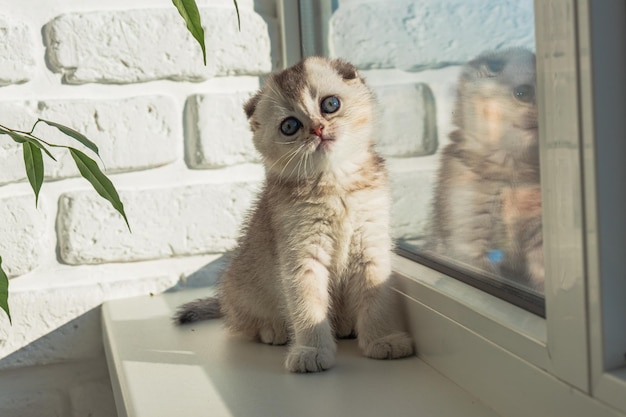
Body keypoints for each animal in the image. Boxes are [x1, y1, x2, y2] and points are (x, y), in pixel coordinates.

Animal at [174, 57, 414, 372]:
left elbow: (376, 298)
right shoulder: (300, 254)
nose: (318, 129)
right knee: (244, 323)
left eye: (330, 104)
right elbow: (307, 306)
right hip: (241, 287)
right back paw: (273, 330)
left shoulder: (371, 246)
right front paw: (311, 350)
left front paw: (382, 339)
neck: (334, 183)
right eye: (290, 126)